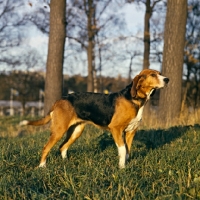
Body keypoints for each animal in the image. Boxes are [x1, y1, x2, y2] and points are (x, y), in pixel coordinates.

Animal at [19, 69, 169, 168]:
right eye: (153, 75)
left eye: (160, 73)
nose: (167, 79)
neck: (135, 99)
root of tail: (60, 100)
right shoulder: (116, 129)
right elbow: (122, 150)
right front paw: (121, 169)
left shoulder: (131, 132)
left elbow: (127, 151)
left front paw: (125, 166)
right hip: (59, 130)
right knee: (46, 147)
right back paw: (42, 167)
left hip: (76, 131)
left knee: (62, 147)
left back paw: (66, 163)